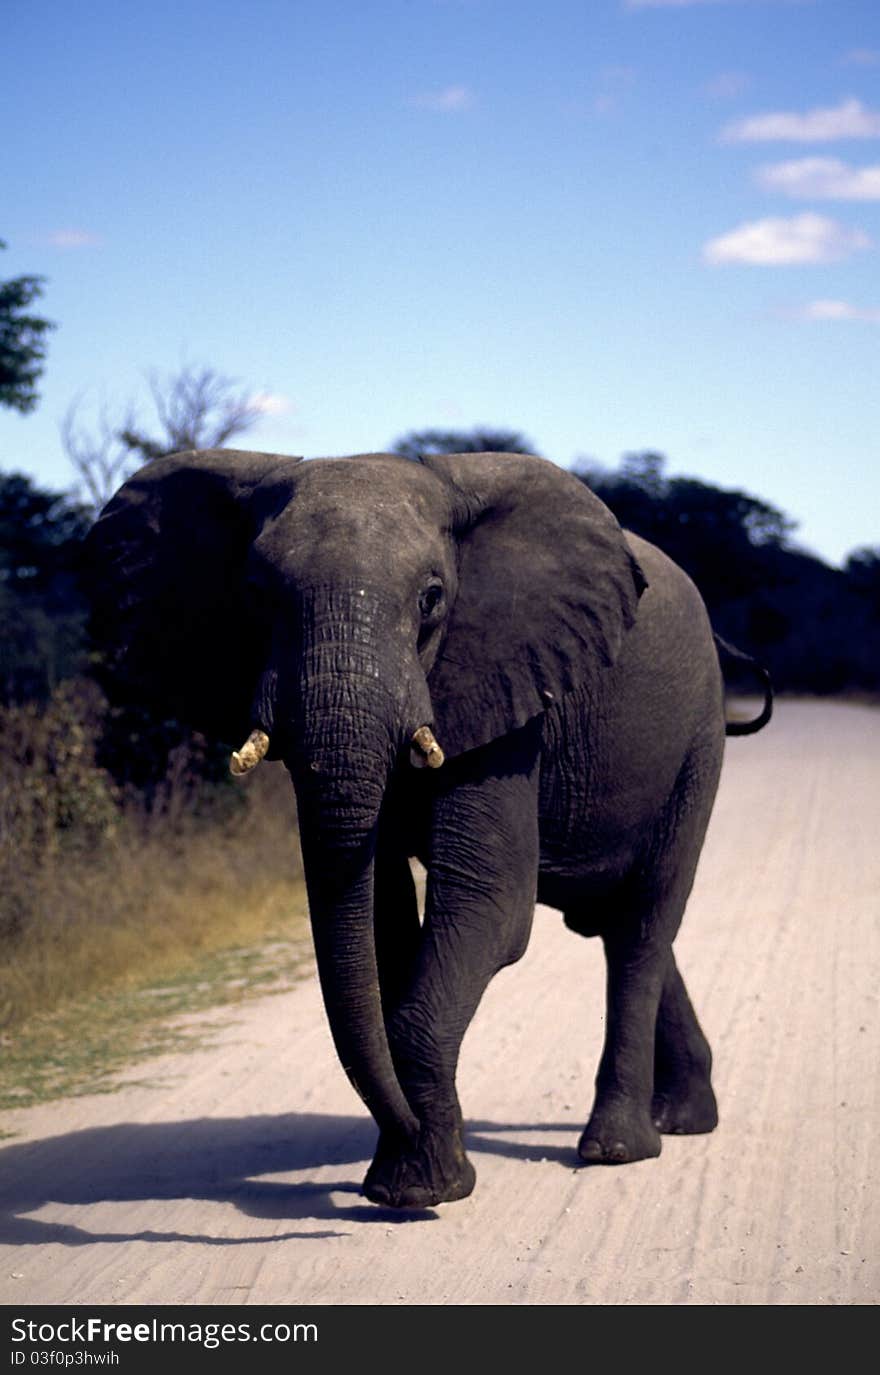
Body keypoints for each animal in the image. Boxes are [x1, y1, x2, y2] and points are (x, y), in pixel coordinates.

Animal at [82, 448, 770, 1204]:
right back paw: (684, 1119)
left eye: (431, 600)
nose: (412, 1129)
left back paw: (618, 1150)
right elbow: (381, 915)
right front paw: (410, 1178)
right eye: (257, 596)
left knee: (643, 923)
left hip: (697, 741)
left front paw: (420, 1188)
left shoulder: (510, 689)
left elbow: (488, 903)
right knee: (607, 918)